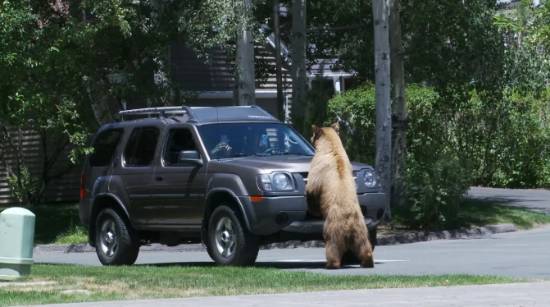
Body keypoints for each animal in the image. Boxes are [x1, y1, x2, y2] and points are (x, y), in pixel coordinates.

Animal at [306, 122, 376, 270]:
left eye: (313, 134)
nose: (310, 137)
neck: (332, 147)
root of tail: (349, 224)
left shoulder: (317, 168)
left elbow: (312, 189)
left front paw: (312, 208)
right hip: (361, 230)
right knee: (364, 245)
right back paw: (367, 261)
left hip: (332, 228)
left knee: (331, 246)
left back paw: (331, 264)